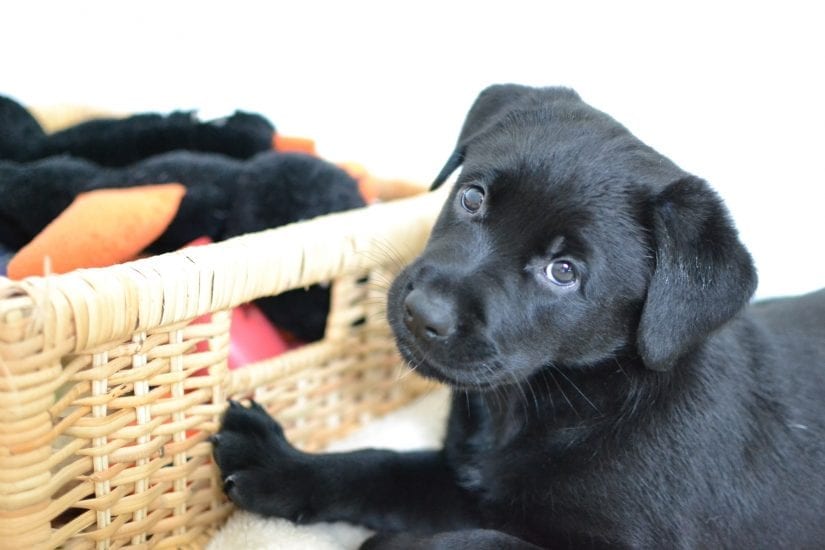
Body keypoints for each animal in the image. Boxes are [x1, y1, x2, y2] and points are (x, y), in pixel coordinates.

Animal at [212, 84, 824, 548]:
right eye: (472, 198)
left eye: (564, 271)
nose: (421, 312)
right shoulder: (464, 481)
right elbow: (381, 468)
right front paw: (282, 463)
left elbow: (483, 541)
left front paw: (392, 543)